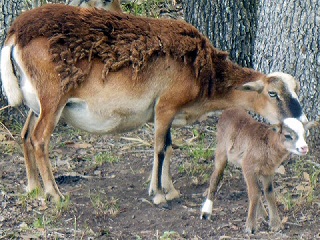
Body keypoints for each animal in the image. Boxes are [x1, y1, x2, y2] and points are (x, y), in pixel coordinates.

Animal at [0, 3, 308, 205]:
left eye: (296, 91)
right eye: (272, 94)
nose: (301, 120)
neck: (205, 74)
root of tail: (16, 32)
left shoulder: (167, 111)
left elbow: (169, 146)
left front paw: (169, 189)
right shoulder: (166, 105)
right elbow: (160, 148)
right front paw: (159, 194)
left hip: (36, 102)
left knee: (25, 135)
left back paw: (32, 187)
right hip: (53, 99)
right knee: (39, 139)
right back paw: (54, 193)